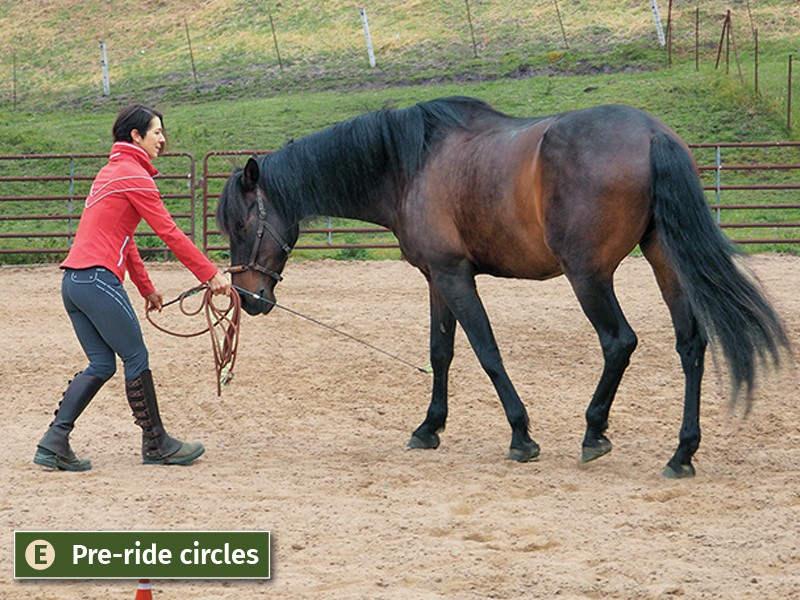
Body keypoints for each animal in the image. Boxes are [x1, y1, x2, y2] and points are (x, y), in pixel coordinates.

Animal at [216, 96, 789, 478]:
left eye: (242, 225)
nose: (250, 298)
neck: (410, 164)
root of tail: (652, 134)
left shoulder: (454, 275)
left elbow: (486, 351)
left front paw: (521, 434)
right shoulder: (436, 279)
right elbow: (441, 352)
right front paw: (430, 427)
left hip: (589, 275)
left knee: (619, 342)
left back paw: (594, 431)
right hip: (663, 258)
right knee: (691, 345)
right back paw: (682, 452)